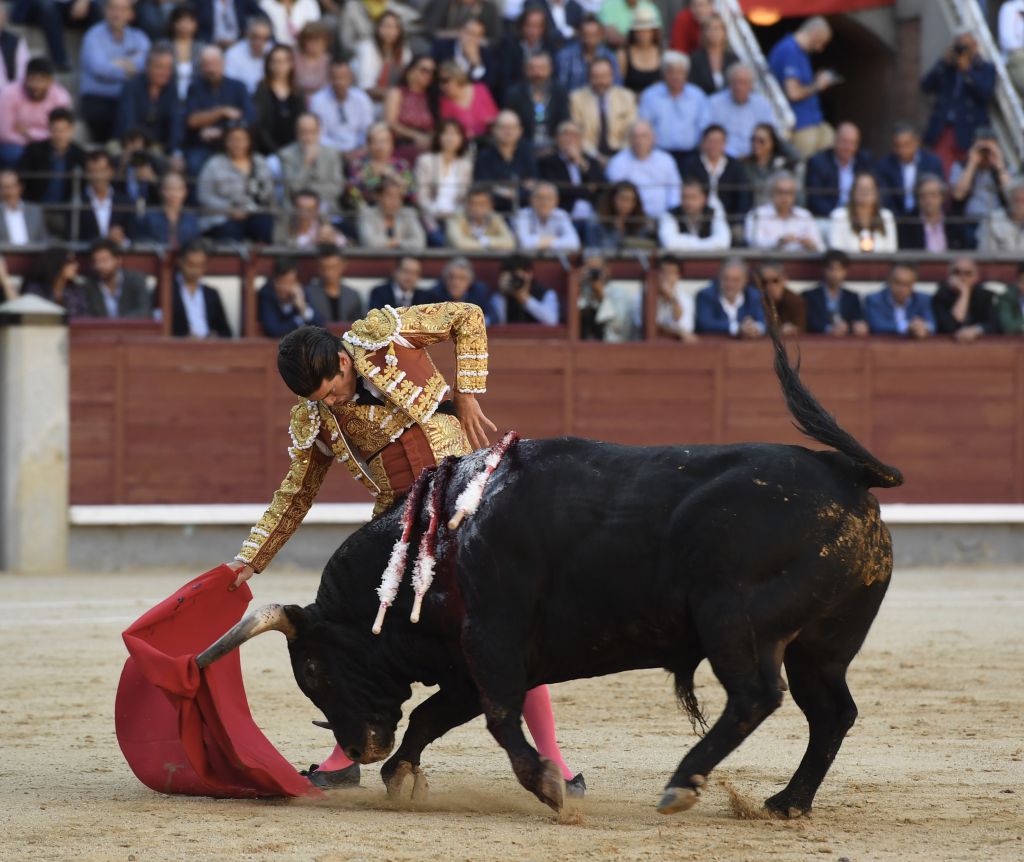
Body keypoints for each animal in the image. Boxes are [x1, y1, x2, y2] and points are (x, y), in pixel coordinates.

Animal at [198, 311, 902, 818]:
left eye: (315, 667)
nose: (360, 748)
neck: (440, 542)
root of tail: (844, 473)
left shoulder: (491, 643)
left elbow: (499, 717)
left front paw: (544, 786)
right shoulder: (465, 663)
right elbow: (434, 715)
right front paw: (402, 774)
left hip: (735, 623)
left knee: (756, 696)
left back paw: (682, 784)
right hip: (822, 643)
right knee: (831, 712)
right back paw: (787, 802)